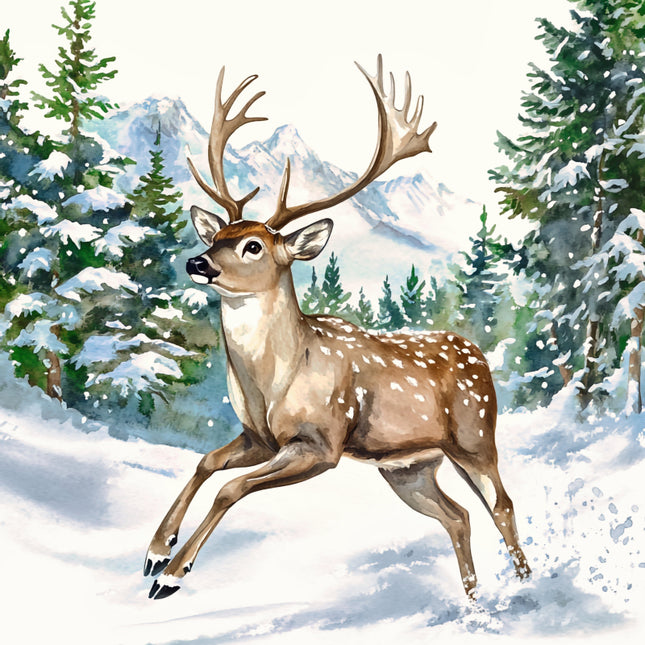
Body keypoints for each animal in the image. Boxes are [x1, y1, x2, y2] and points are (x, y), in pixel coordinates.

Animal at [144, 56, 531, 600]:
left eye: (253, 246)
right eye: (217, 234)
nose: (197, 262)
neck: (273, 381)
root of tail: (480, 356)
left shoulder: (321, 443)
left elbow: (231, 487)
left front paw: (173, 574)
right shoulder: (259, 437)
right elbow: (206, 464)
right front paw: (156, 550)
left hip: (475, 436)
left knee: (502, 505)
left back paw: (527, 587)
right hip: (408, 467)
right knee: (457, 516)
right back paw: (475, 599)